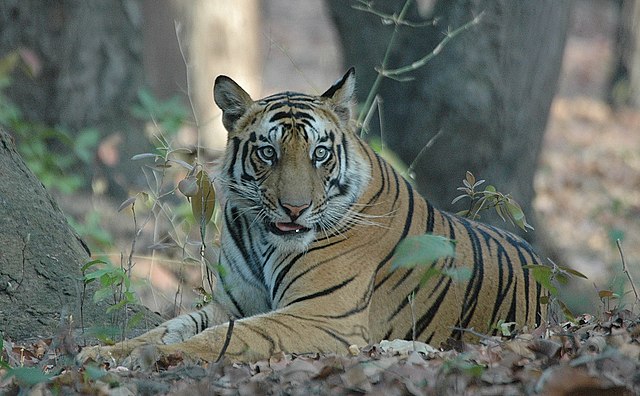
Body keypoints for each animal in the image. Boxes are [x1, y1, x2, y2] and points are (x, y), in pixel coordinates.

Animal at [76, 69, 544, 368]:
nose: (295, 208)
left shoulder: (322, 315)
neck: (261, 236)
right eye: (268, 152)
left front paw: (154, 358)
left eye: (320, 153)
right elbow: (169, 328)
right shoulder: (234, 302)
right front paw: (104, 353)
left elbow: (230, 336)